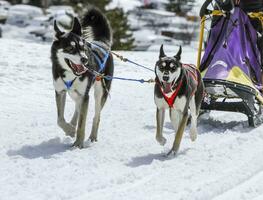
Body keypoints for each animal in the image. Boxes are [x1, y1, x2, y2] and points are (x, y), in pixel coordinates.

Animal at [51, 7, 114, 148]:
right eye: (70, 48)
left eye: (83, 47)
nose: (84, 59)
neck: (71, 74)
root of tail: (102, 43)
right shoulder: (60, 92)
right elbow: (59, 119)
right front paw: (70, 130)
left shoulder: (85, 96)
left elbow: (82, 123)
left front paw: (78, 143)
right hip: (75, 94)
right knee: (77, 110)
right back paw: (72, 125)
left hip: (99, 92)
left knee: (96, 116)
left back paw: (92, 137)